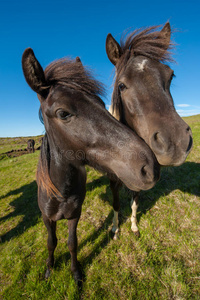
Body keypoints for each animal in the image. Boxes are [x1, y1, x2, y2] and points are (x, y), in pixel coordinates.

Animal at [21, 48, 159, 284]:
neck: (61, 191)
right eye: (63, 113)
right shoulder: (46, 218)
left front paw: (76, 273)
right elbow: (51, 243)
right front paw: (49, 269)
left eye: (102, 104)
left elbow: (72, 243)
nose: (150, 166)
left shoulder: (74, 215)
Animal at [105, 21, 193, 237]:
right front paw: (115, 229)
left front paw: (134, 226)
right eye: (121, 85)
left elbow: (135, 202)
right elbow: (116, 204)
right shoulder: (113, 182)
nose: (175, 143)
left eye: (171, 75)